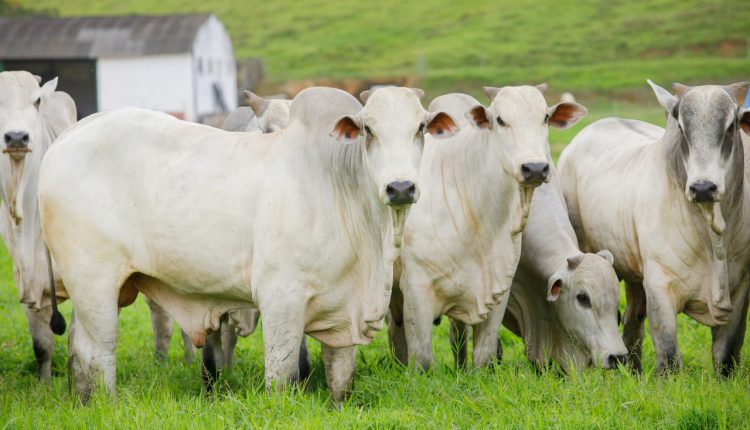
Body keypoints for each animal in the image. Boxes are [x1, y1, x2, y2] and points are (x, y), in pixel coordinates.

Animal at [41, 85, 462, 402]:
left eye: (421, 127)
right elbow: (283, 377)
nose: (401, 187)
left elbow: (341, 380)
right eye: (369, 129)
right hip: (93, 282)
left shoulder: (345, 312)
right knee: (97, 351)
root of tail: (68, 138)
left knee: (78, 347)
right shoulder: (281, 301)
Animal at [390, 87, 592, 370]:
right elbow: (422, 358)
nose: (535, 168)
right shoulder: (416, 291)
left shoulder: (497, 291)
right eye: (500, 119)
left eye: (545, 117)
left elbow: (483, 354)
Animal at [560, 81, 750, 376]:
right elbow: (669, 357)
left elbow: (725, 355)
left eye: (731, 127)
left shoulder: (740, 288)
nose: (703, 187)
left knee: (632, 319)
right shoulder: (660, 286)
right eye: (682, 128)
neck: (712, 235)